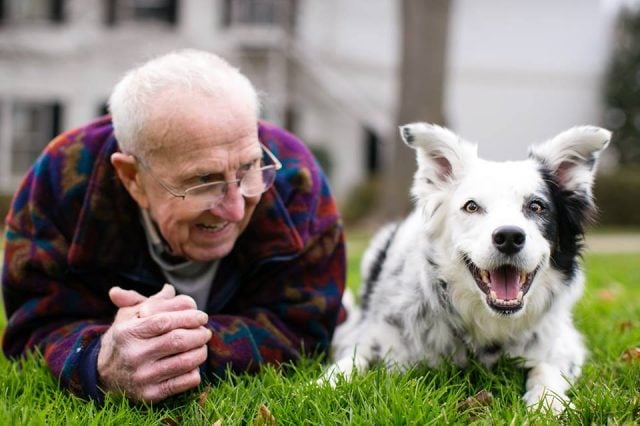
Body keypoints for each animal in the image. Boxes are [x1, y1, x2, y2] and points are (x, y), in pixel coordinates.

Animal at [324, 122, 608, 412]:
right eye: (471, 206)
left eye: (536, 206)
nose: (509, 237)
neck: (485, 322)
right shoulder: (368, 335)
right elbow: (350, 362)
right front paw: (323, 384)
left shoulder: (564, 342)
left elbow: (546, 368)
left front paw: (547, 404)